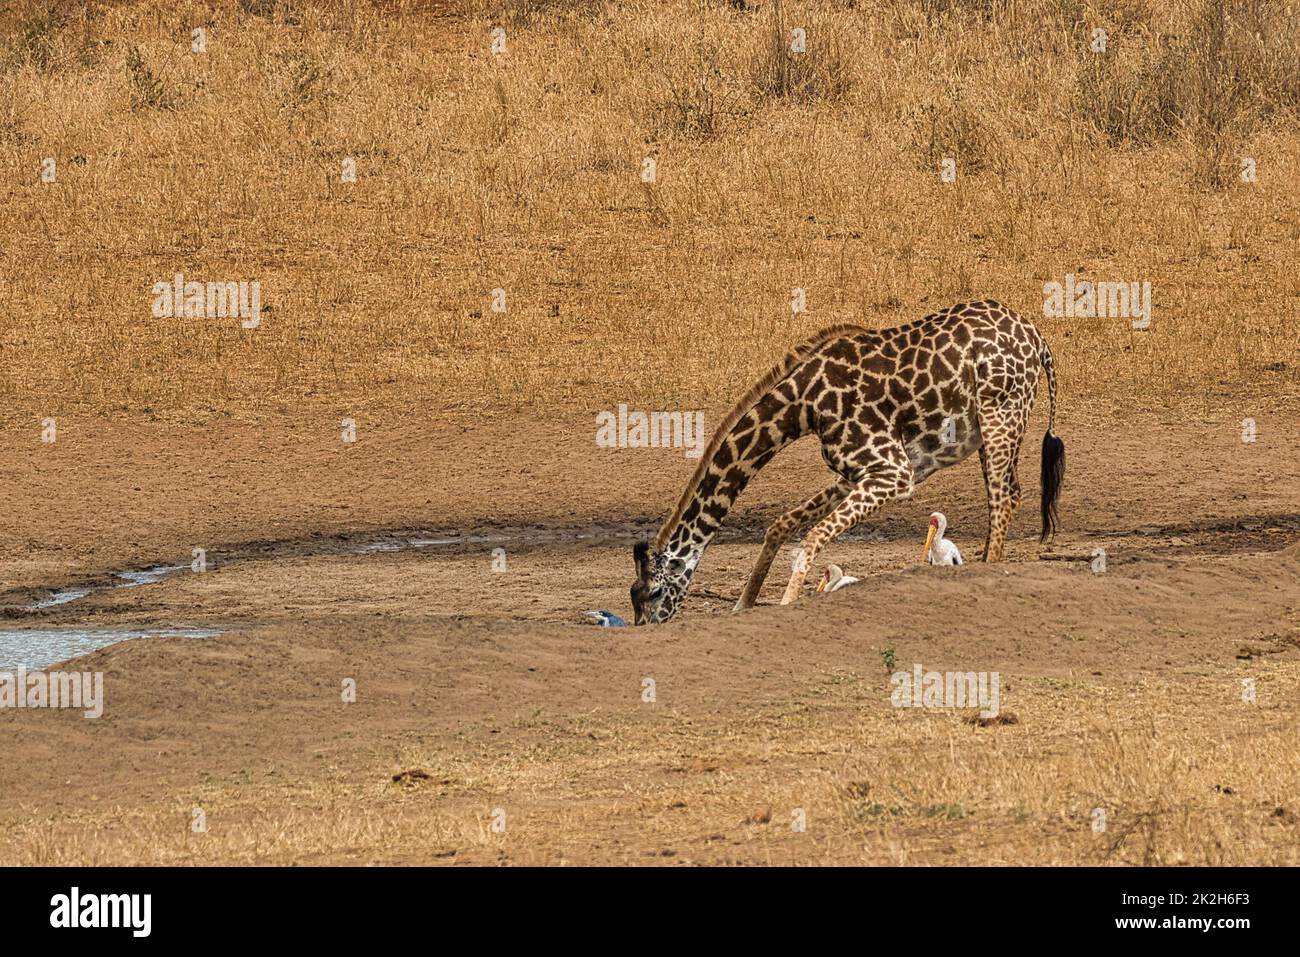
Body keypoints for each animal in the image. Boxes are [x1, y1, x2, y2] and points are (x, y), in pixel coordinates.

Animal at [629, 300, 1066, 629]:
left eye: (652, 592)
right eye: (632, 596)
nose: (646, 628)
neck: (803, 406)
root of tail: (1039, 340)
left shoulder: (893, 472)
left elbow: (813, 535)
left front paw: (786, 603)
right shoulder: (855, 471)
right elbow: (782, 524)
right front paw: (743, 604)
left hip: (1000, 415)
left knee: (1004, 497)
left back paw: (988, 570)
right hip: (988, 428)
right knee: (1008, 495)